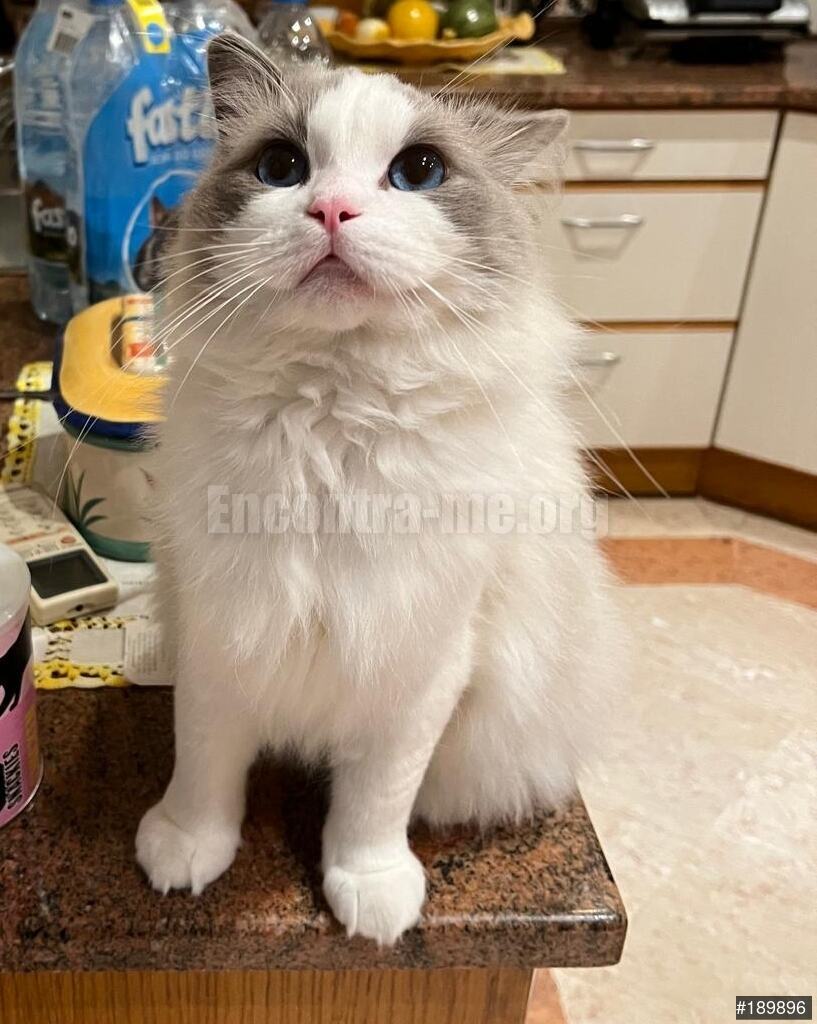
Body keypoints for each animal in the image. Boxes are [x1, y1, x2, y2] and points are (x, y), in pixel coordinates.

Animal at [135, 33, 624, 946]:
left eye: (418, 171)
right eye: (282, 167)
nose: (331, 211)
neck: (331, 420)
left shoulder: (421, 667)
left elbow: (372, 808)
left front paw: (370, 896)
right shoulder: (221, 636)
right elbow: (204, 768)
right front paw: (184, 854)